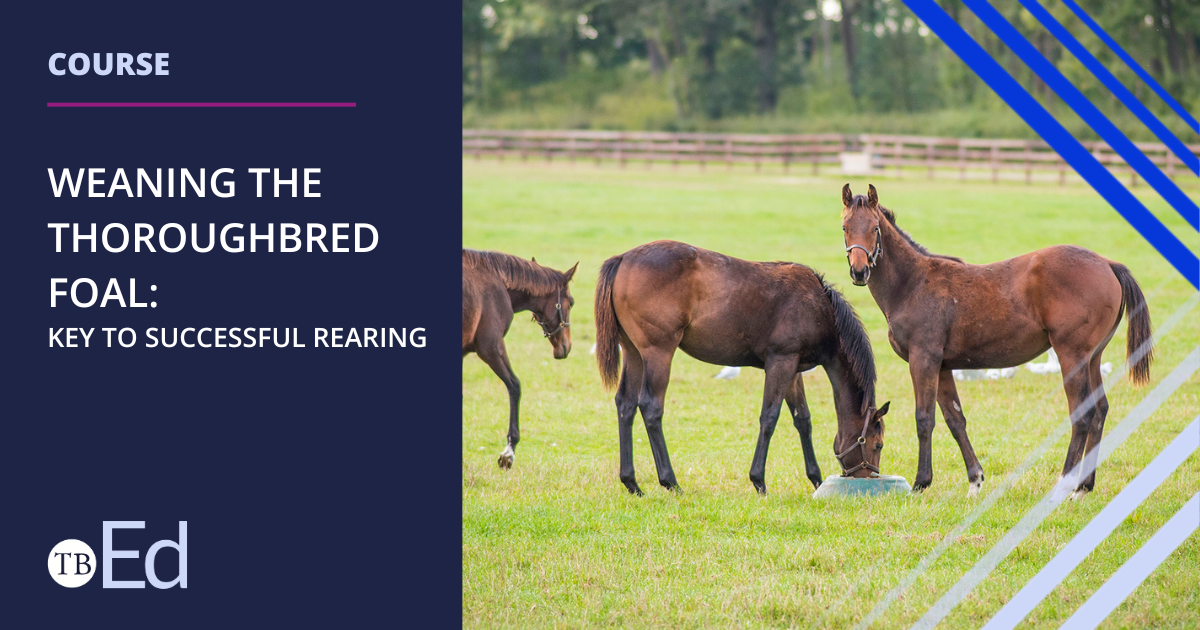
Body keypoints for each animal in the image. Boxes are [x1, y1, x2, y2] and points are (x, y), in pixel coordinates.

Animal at [462, 248, 578, 469]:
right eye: (572, 302)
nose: (566, 346)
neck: (496, 281)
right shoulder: (491, 348)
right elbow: (514, 386)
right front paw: (509, 452)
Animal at [594, 240, 890, 496]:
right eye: (878, 444)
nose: (868, 478)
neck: (819, 308)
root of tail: (623, 259)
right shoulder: (780, 363)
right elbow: (769, 417)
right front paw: (758, 480)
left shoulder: (794, 368)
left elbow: (803, 420)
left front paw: (815, 479)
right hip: (658, 352)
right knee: (651, 407)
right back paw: (670, 481)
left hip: (633, 353)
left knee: (626, 404)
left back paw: (631, 482)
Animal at [839, 184, 1152, 499]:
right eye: (845, 227)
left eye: (875, 227)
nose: (859, 271)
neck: (912, 284)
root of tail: (1107, 263)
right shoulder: (943, 366)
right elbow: (955, 420)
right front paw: (975, 481)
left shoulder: (923, 360)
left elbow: (924, 418)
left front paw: (921, 483)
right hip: (1093, 357)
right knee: (1100, 410)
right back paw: (1083, 488)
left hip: (1072, 355)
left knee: (1083, 413)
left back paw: (1064, 485)